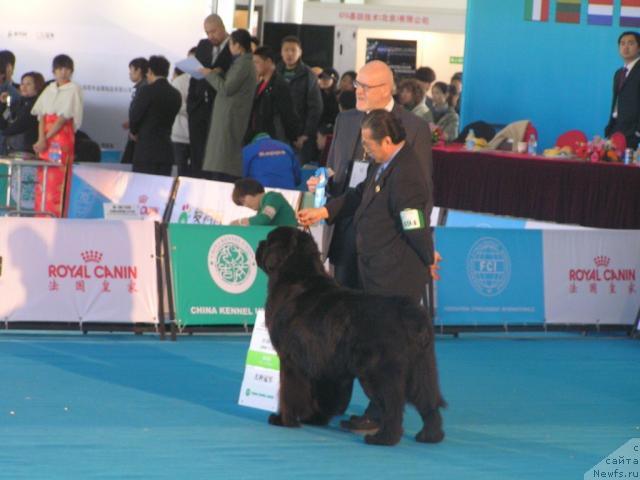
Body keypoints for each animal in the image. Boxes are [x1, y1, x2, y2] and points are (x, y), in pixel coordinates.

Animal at [255, 227, 444, 444]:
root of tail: (407, 312)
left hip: (378, 371)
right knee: (427, 400)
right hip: (421, 368)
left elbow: (289, 391)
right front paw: (314, 418)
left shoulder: (290, 359)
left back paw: (383, 438)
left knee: (393, 405)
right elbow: (320, 394)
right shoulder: (321, 364)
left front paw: (284, 419)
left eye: (269, 240)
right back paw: (430, 436)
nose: (259, 243)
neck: (295, 278)